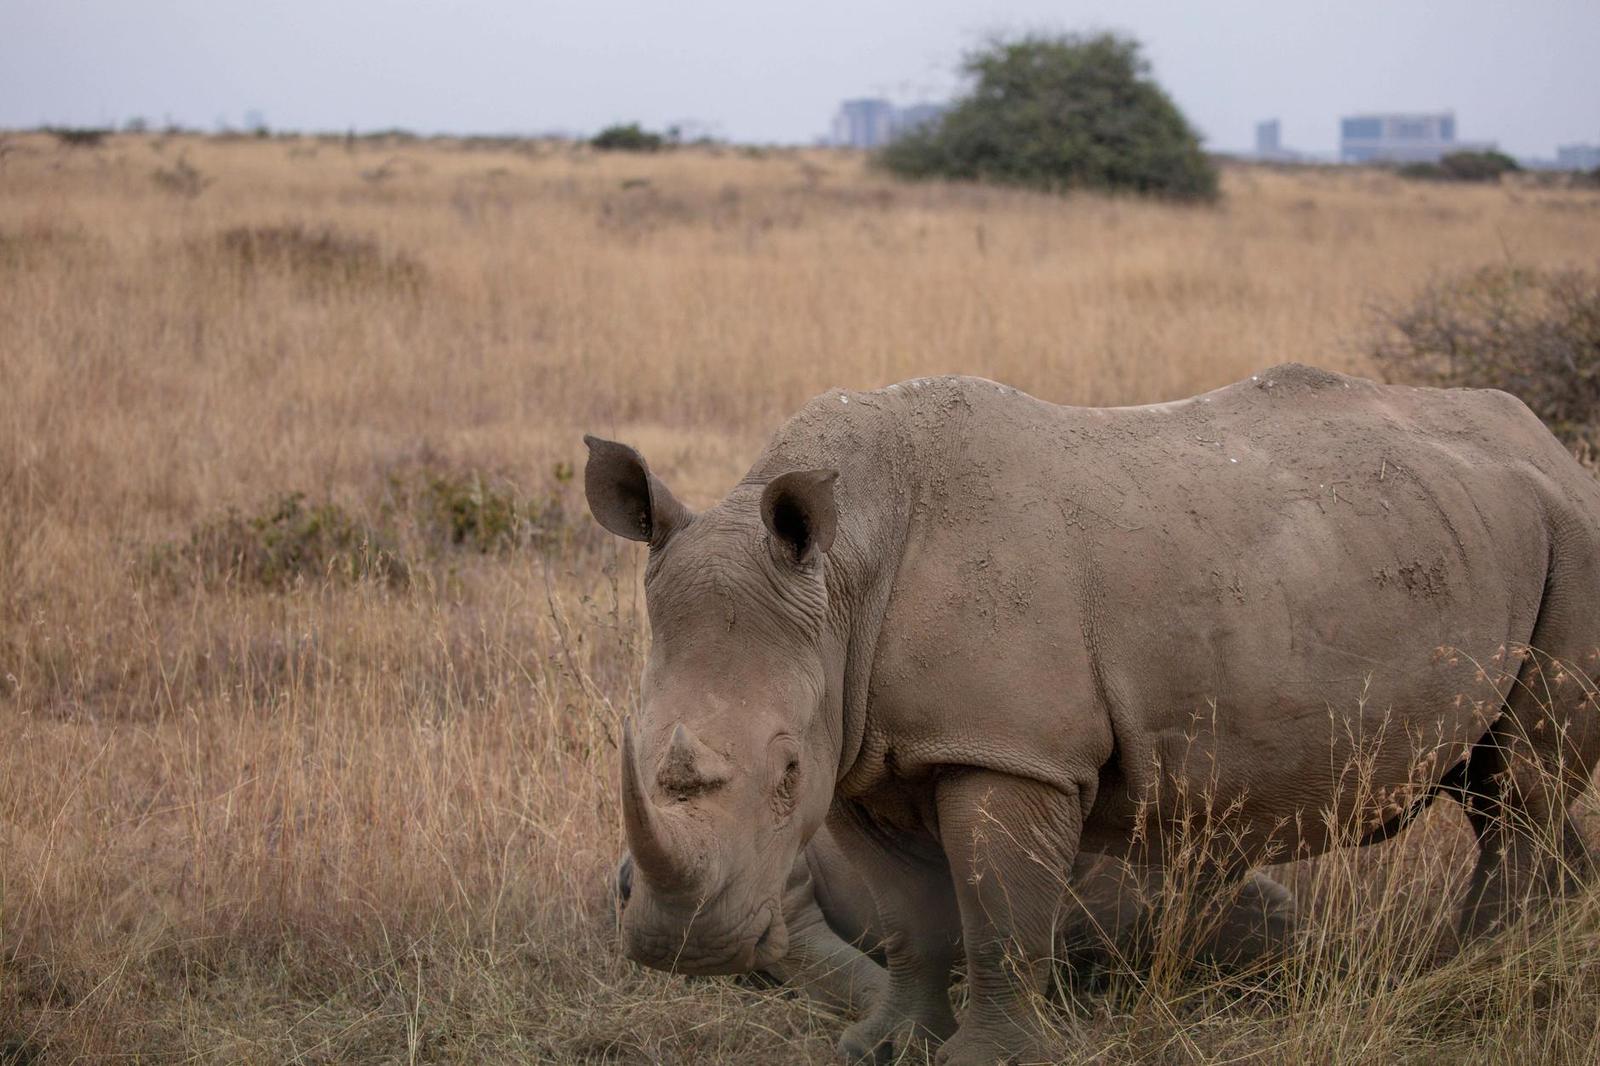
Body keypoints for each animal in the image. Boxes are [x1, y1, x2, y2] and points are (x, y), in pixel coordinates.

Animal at [584, 366, 1600, 1065]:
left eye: (787, 771)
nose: (682, 946)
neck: (844, 577)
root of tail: (1555, 448)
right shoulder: (867, 747)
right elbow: (914, 918)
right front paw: (885, 1049)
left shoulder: (1011, 750)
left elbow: (998, 916)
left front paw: (988, 1061)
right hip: (1466, 536)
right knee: (1503, 791)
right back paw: (1521, 962)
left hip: (1572, 538)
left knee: (1519, 788)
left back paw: (1469, 983)